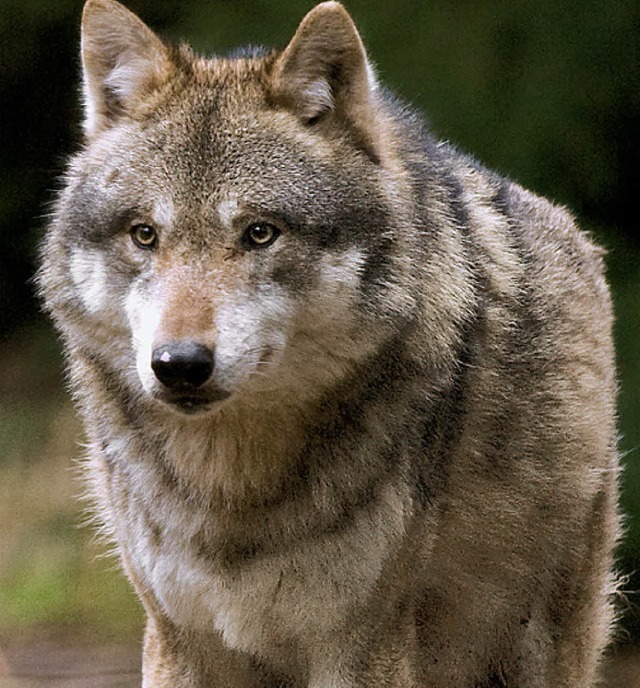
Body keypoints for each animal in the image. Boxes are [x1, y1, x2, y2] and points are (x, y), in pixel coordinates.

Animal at [38, 0, 620, 684]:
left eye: (260, 233)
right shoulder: (179, 636)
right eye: (145, 234)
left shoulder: (362, 642)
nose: (179, 365)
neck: (232, 487)